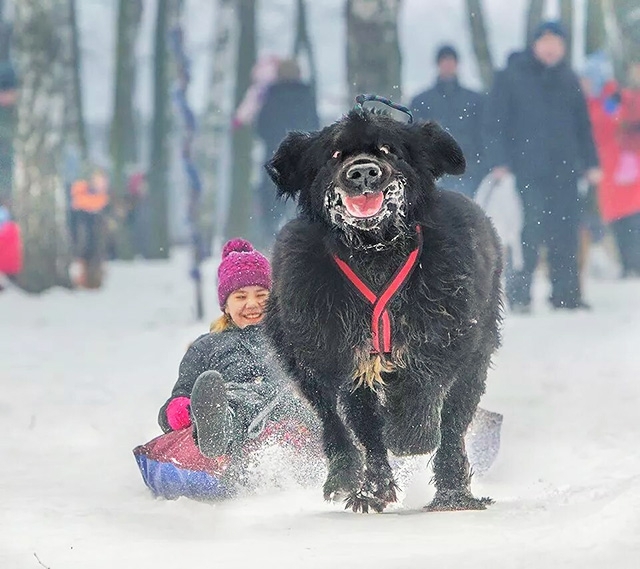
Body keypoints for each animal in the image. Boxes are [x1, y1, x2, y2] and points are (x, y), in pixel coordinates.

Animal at [262, 106, 502, 510]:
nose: (363, 171)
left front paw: (410, 435)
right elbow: (359, 422)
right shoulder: (340, 354)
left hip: (476, 357)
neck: (375, 251)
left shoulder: (447, 333)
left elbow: (424, 383)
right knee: (337, 420)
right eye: (334, 154)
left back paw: (452, 490)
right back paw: (352, 479)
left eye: (388, 149)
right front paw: (369, 483)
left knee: (453, 424)